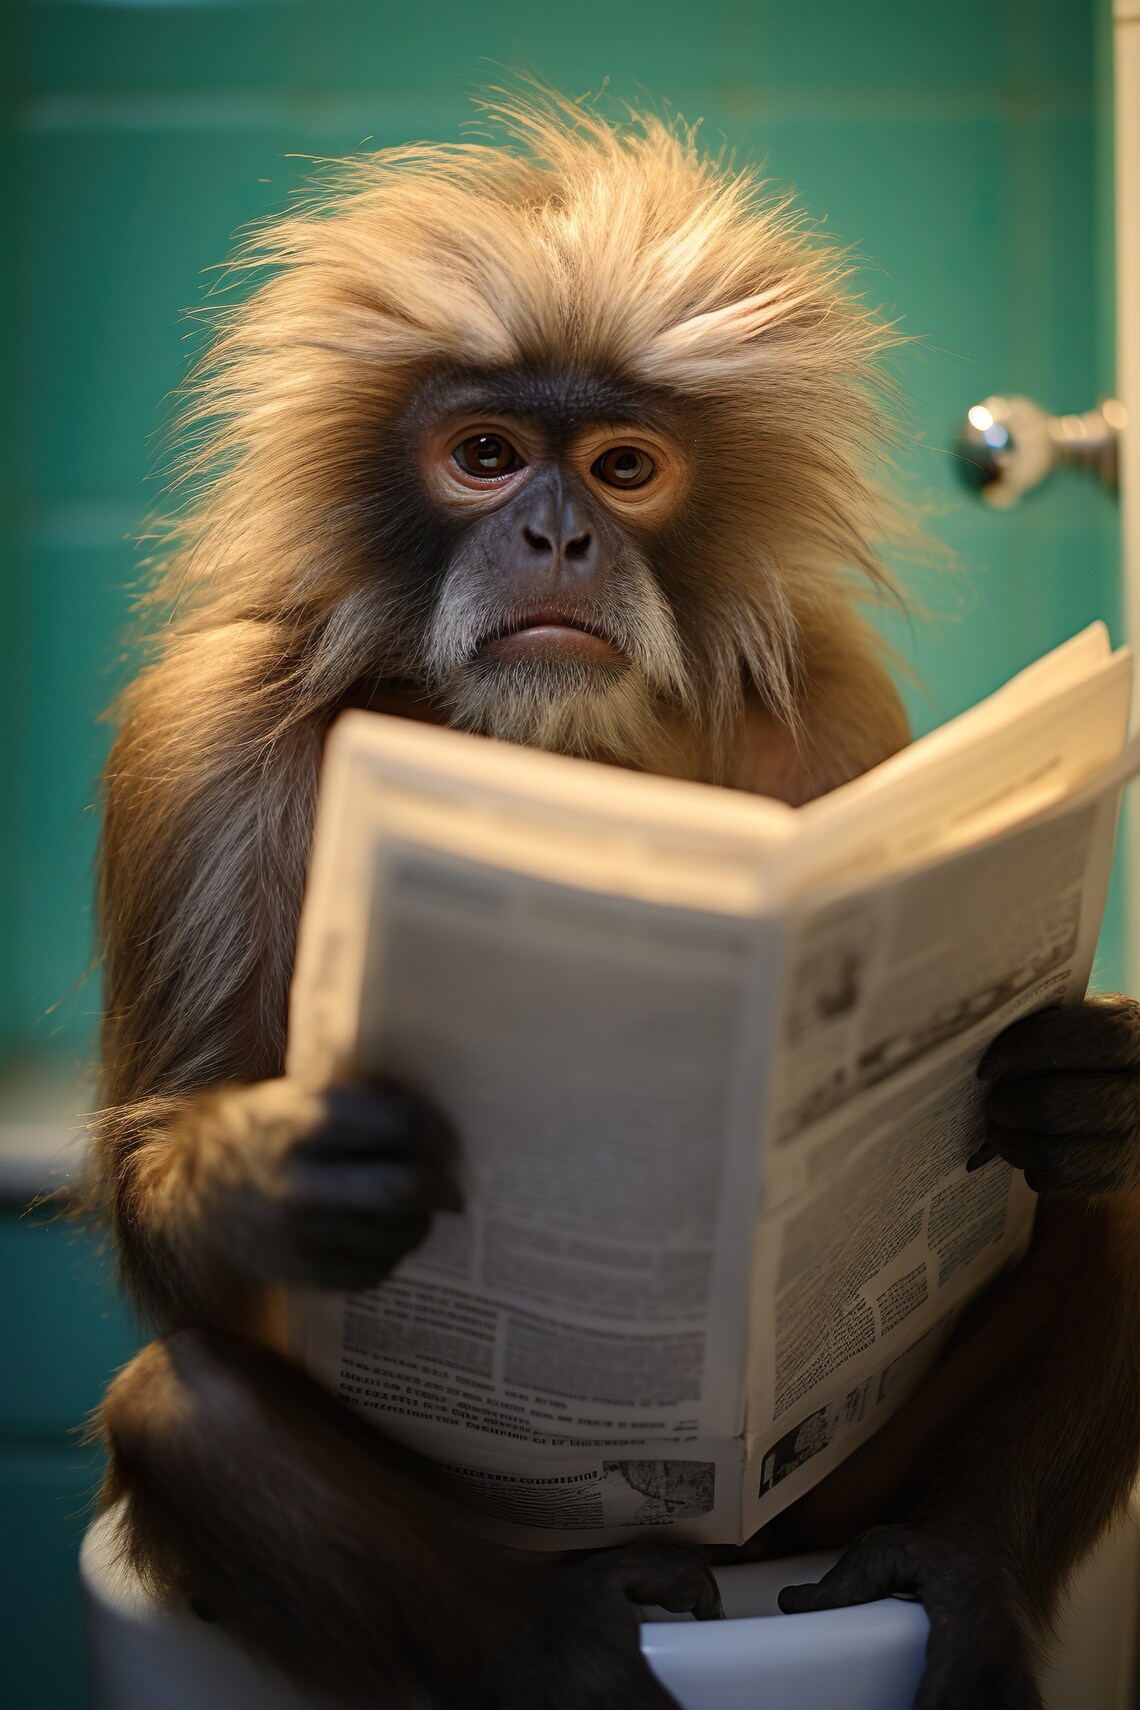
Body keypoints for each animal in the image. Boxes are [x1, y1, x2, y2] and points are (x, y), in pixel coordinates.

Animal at [91, 92, 1139, 1710]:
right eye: (487, 453)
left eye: (624, 469)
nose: (558, 536)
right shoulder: (205, 731)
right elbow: (161, 1153)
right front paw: (277, 1167)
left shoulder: (829, 702)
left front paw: (1078, 1078)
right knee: (186, 1406)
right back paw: (565, 1636)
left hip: (818, 1484)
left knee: (1108, 1233)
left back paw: (958, 1574)